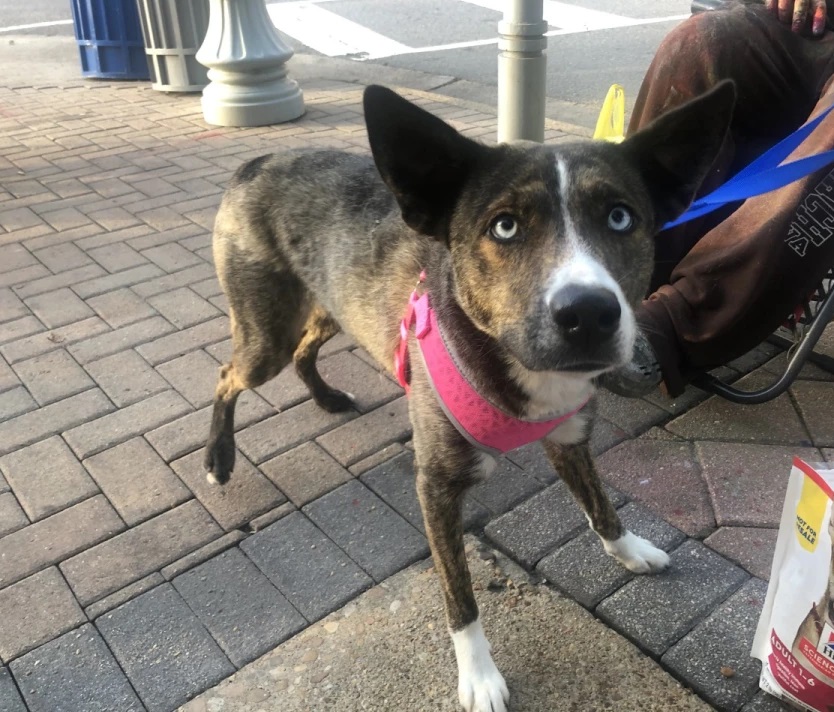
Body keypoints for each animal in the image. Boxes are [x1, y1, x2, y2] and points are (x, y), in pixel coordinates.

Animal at [203, 80, 736, 708]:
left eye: (620, 216)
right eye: (504, 227)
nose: (588, 313)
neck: (509, 362)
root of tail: (258, 161)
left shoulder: (569, 441)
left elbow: (601, 506)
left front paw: (629, 549)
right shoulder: (436, 487)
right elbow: (460, 595)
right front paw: (478, 675)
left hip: (329, 306)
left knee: (306, 350)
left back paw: (327, 398)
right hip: (266, 335)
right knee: (227, 374)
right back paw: (218, 459)